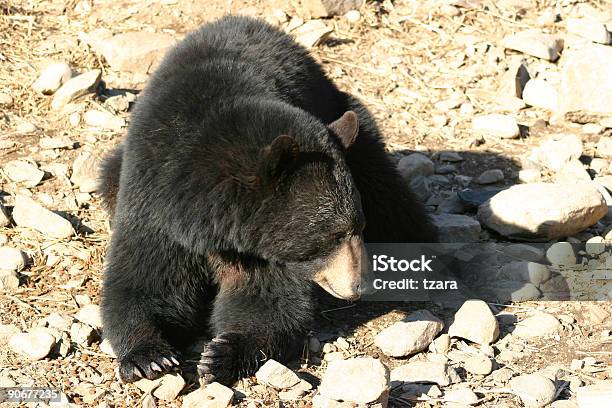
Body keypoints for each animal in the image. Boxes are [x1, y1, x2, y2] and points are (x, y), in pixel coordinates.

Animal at [99, 15, 436, 386]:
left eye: (357, 227)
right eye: (332, 236)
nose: (357, 285)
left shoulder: (261, 246)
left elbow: (265, 299)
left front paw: (221, 354)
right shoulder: (153, 196)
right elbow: (147, 280)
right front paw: (150, 357)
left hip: (351, 126)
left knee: (388, 193)